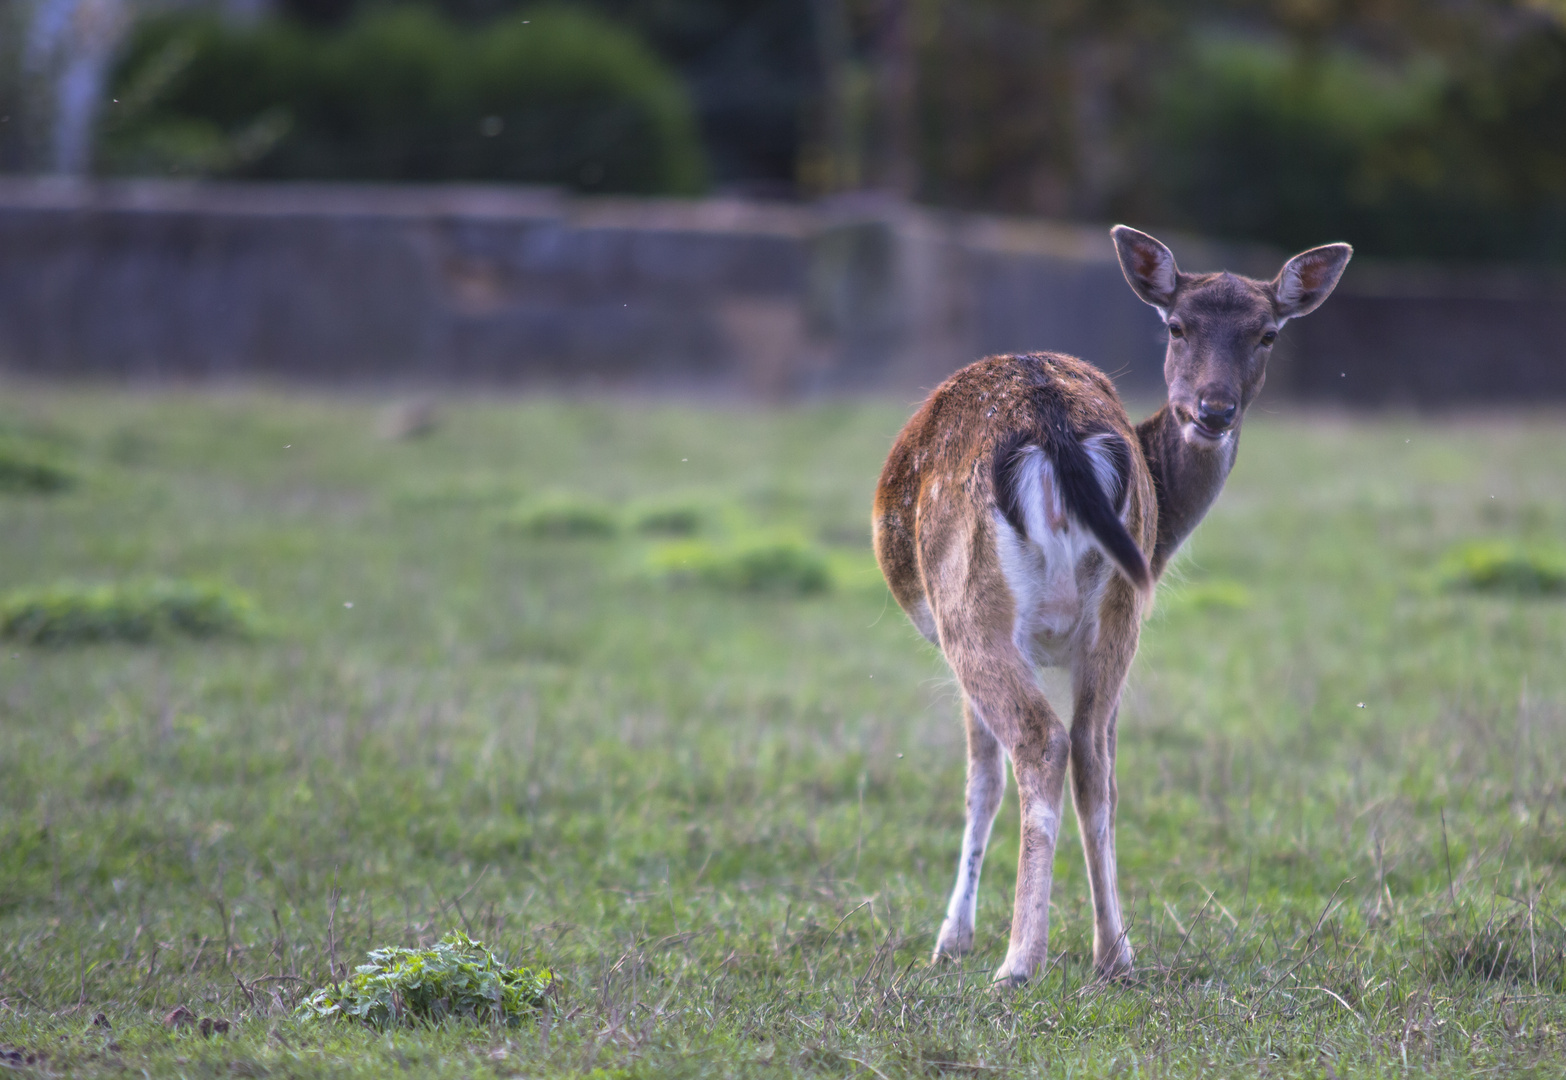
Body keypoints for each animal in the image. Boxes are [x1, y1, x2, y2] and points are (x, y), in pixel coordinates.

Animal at [876, 222, 1353, 982]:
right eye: (1178, 325)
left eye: (1268, 333)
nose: (1213, 410)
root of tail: (1055, 428)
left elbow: (980, 780)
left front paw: (951, 939)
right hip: (1119, 616)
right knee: (1093, 757)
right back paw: (1115, 953)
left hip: (969, 608)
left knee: (1042, 743)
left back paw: (1019, 960)